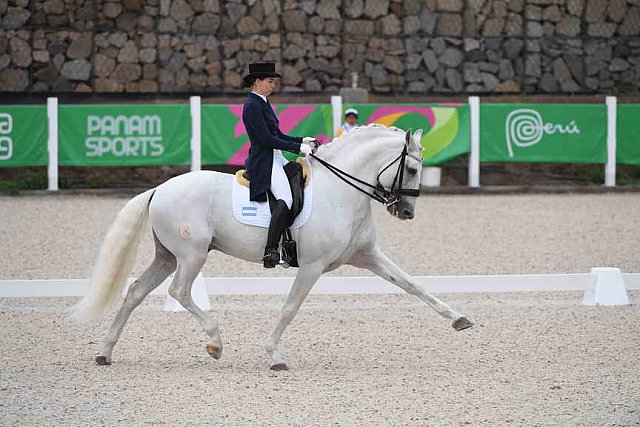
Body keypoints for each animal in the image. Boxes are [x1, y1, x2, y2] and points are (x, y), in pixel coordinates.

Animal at [72, 123, 472, 372]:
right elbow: (290, 308)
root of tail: (160, 188)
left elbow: (412, 284)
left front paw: (459, 319)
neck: (341, 191)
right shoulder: (311, 267)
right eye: (412, 170)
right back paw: (215, 342)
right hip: (192, 253)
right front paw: (275, 355)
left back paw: (105, 352)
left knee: (135, 292)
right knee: (180, 291)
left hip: (167, 256)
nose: (406, 212)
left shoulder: (367, 256)